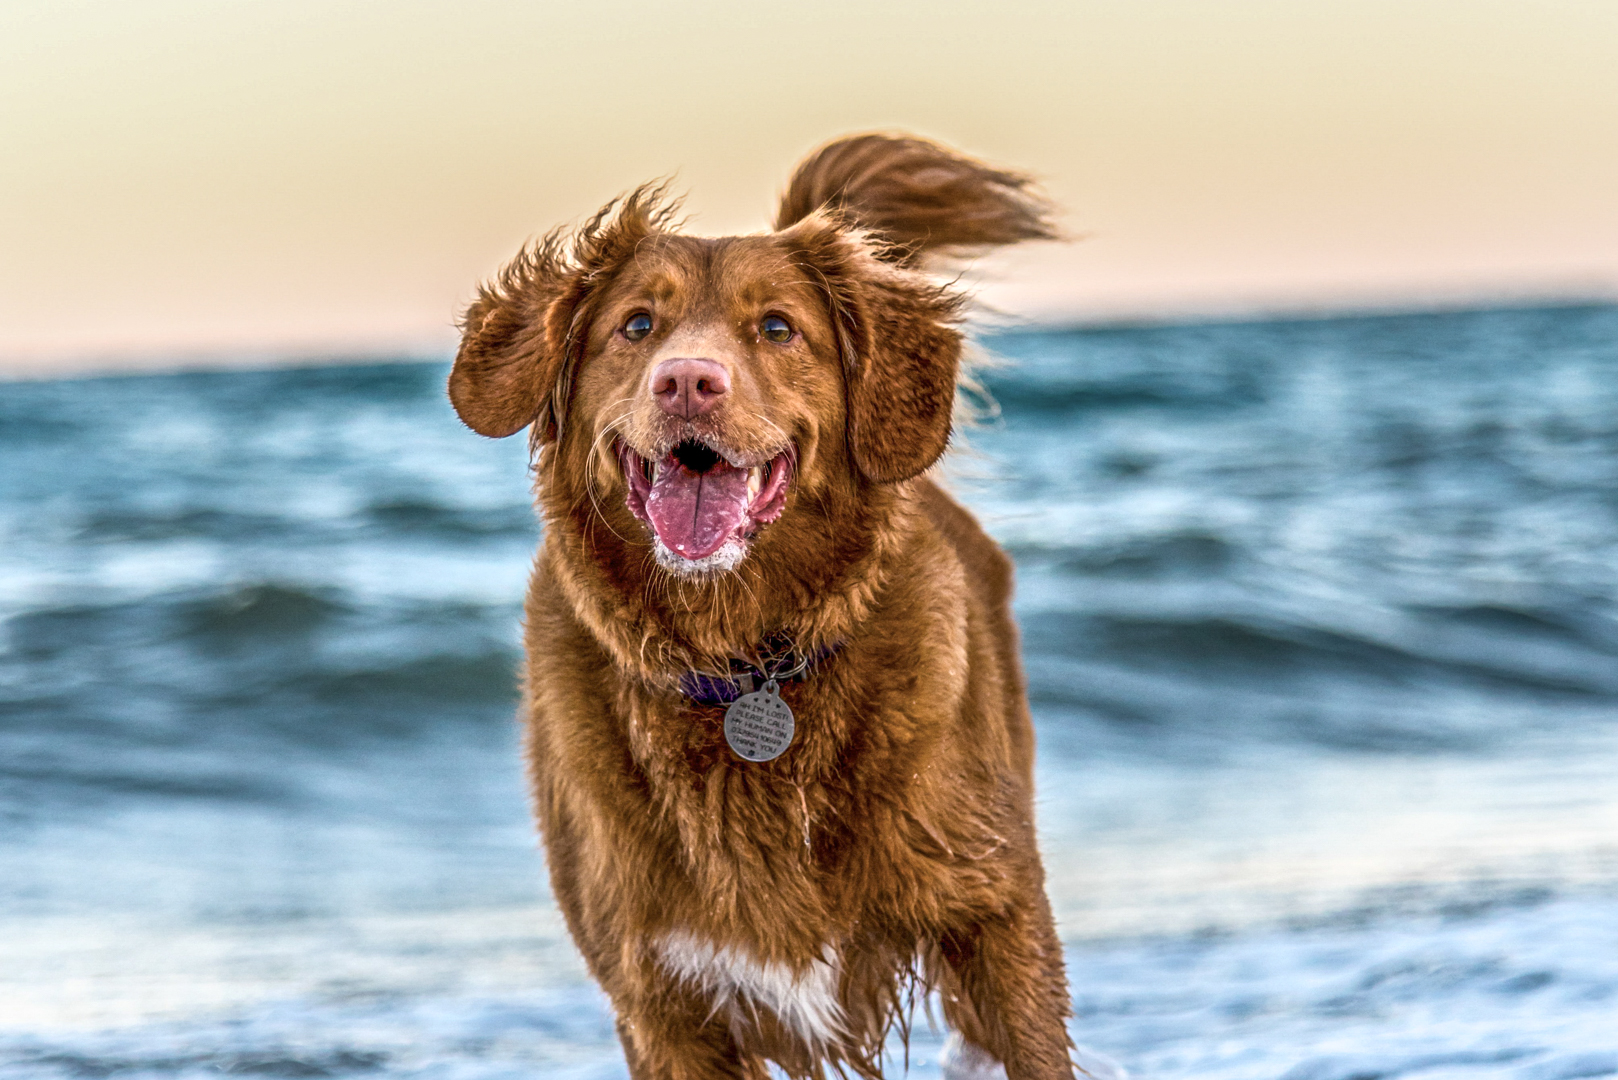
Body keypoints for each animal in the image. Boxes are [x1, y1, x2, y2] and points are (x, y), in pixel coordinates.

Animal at [446, 137, 1074, 1080]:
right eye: (637, 326)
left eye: (778, 328)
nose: (687, 381)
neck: (743, 659)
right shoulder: (660, 999)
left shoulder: (996, 919)